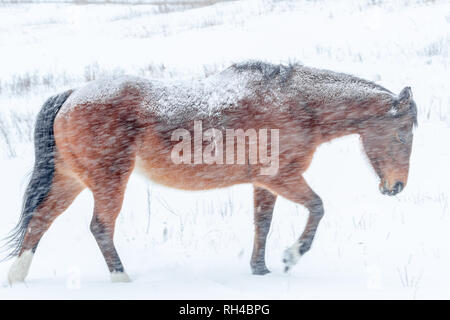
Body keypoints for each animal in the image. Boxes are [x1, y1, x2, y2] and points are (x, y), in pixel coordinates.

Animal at [4, 62, 418, 282]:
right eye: (402, 132)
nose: (396, 187)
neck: (299, 106)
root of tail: (71, 96)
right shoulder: (281, 179)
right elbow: (317, 207)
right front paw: (291, 257)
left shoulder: (264, 183)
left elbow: (262, 224)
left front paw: (260, 270)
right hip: (108, 180)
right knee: (100, 228)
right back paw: (123, 279)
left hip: (70, 180)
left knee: (40, 221)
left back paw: (16, 278)